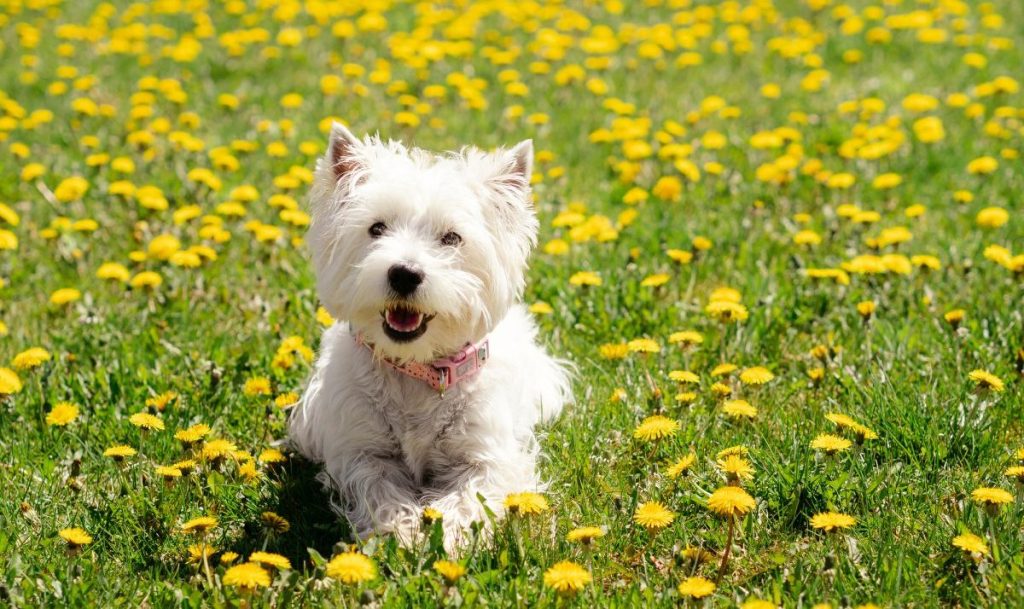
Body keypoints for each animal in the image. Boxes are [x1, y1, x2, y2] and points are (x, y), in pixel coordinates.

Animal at [288, 123, 573, 552]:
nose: (404, 274)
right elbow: (380, 490)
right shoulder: (361, 450)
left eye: (451, 238)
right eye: (376, 228)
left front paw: (449, 540)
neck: (417, 370)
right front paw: (400, 534)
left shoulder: (487, 455)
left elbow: (469, 496)